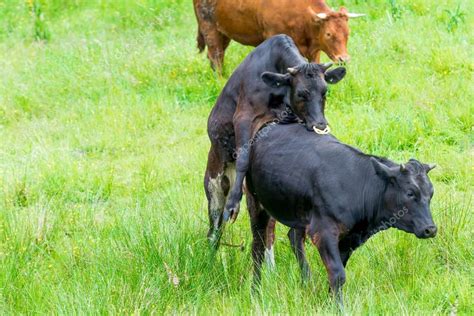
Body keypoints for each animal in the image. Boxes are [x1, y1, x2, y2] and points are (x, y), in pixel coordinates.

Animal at [193, 0, 362, 72]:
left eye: (348, 32)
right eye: (328, 33)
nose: (344, 59)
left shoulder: (315, 50)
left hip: (223, 32)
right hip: (209, 26)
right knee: (216, 55)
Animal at [206, 35, 346, 247]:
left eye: (324, 92)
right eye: (301, 93)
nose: (320, 125)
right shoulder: (243, 116)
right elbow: (243, 157)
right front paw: (233, 203)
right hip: (214, 183)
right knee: (214, 226)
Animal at [246, 123, 436, 306]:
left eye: (431, 193)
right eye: (410, 193)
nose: (431, 229)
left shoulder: (350, 238)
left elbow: (339, 271)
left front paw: (329, 302)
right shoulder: (323, 231)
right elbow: (338, 273)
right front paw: (338, 307)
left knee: (294, 237)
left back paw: (307, 282)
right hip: (256, 203)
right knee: (258, 248)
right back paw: (255, 290)